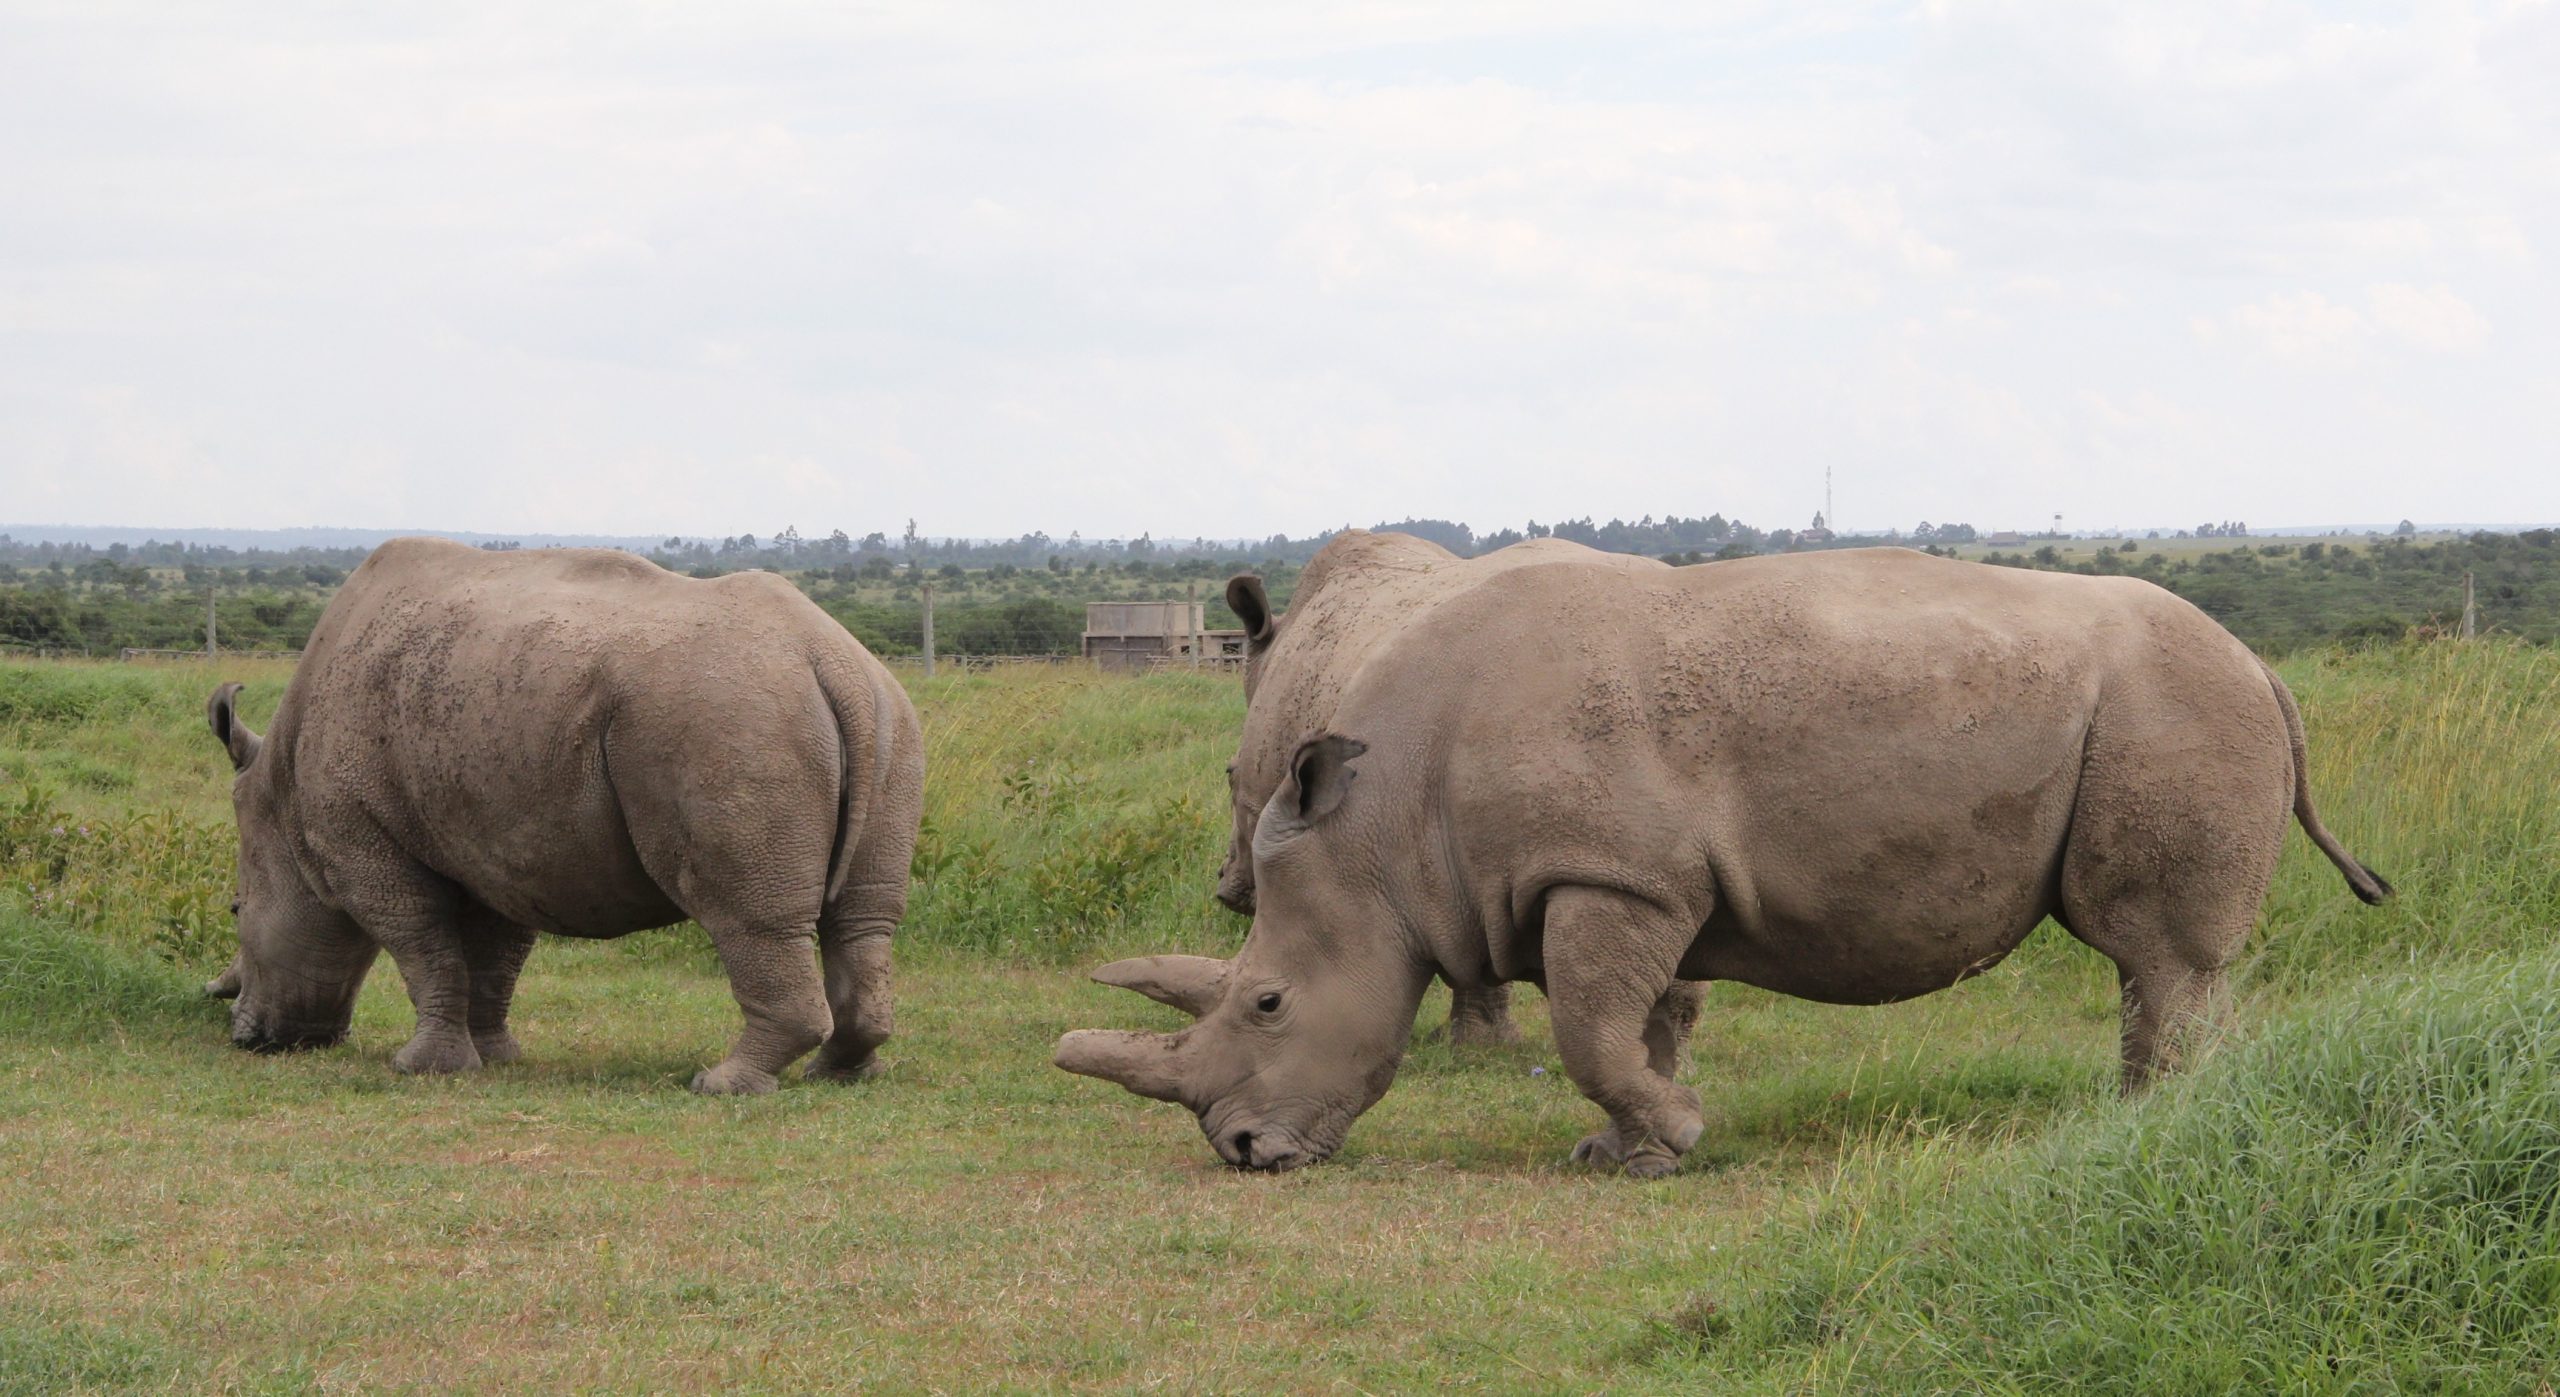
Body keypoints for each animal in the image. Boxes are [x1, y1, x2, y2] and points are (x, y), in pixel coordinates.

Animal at [209, 532, 926, 1084]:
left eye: (237, 910)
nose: (247, 1035)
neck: (279, 792)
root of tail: (828, 661)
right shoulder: (496, 838)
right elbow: (494, 953)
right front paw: (495, 1058)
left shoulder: (359, 837)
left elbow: (419, 941)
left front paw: (422, 1068)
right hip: (882, 714)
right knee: (864, 918)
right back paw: (840, 1074)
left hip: (731, 719)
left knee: (749, 916)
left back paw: (722, 1084)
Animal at [1054, 537, 2375, 1166]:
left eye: (1268, 1001)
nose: (1241, 1152)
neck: (1382, 833)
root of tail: (2262, 662)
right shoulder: (1634, 881)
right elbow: (1631, 1022)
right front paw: (1623, 1151)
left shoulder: (1604, 869)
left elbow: (1590, 1028)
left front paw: (1681, 1136)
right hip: (2171, 701)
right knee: (2157, 963)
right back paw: (2138, 1122)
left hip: (2172, 703)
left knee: (2156, 951)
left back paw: (2149, 1127)